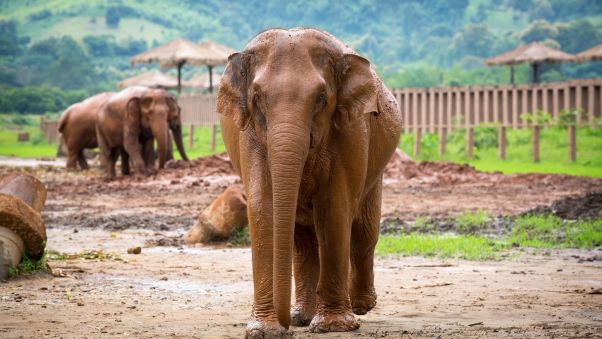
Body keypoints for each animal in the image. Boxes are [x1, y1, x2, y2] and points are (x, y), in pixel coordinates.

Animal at [214, 27, 398, 338]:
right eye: (257, 97)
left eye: (321, 98)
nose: (285, 325)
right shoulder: (250, 135)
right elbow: (264, 208)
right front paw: (264, 330)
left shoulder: (349, 131)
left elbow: (334, 208)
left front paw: (333, 327)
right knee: (303, 242)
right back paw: (302, 316)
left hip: (377, 167)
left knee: (363, 231)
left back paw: (360, 306)